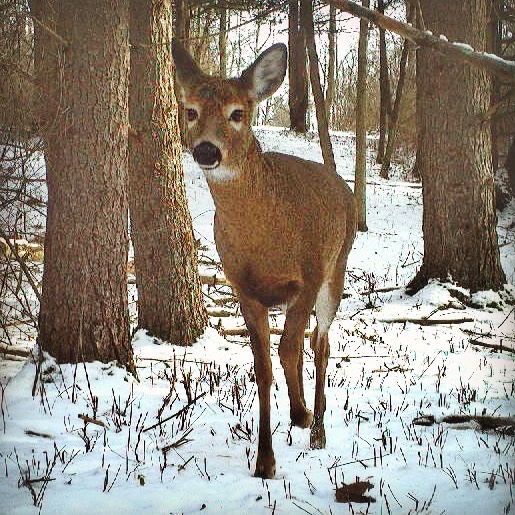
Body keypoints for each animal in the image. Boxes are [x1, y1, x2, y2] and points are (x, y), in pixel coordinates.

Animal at [173, 39, 358, 480]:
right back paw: (302, 413)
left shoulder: (308, 274)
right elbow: (263, 366)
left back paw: (316, 427)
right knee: (307, 342)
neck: (265, 239)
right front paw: (264, 460)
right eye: (191, 110)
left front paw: (300, 421)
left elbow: (290, 349)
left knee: (320, 343)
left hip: (336, 267)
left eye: (238, 113)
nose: (206, 150)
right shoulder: (244, 288)